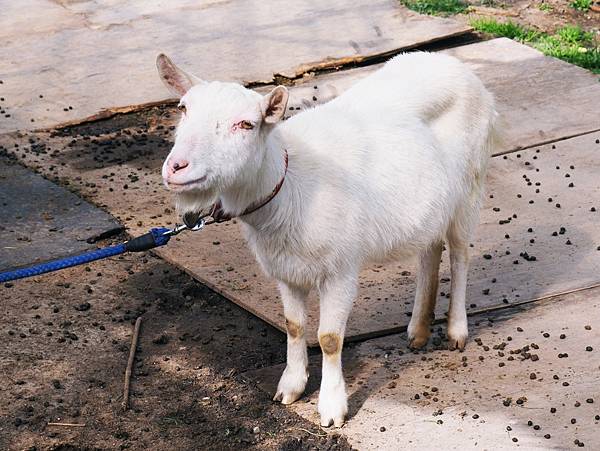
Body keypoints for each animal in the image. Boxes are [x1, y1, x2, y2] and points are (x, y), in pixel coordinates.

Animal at [155, 53, 496, 428]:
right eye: (183, 108)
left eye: (246, 124)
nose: (177, 167)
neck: (290, 184)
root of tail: (453, 64)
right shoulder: (286, 269)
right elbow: (294, 326)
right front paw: (290, 387)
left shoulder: (341, 269)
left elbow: (329, 339)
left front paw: (332, 408)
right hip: (429, 206)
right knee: (429, 249)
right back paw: (418, 329)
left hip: (470, 186)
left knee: (461, 254)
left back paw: (456, 330)